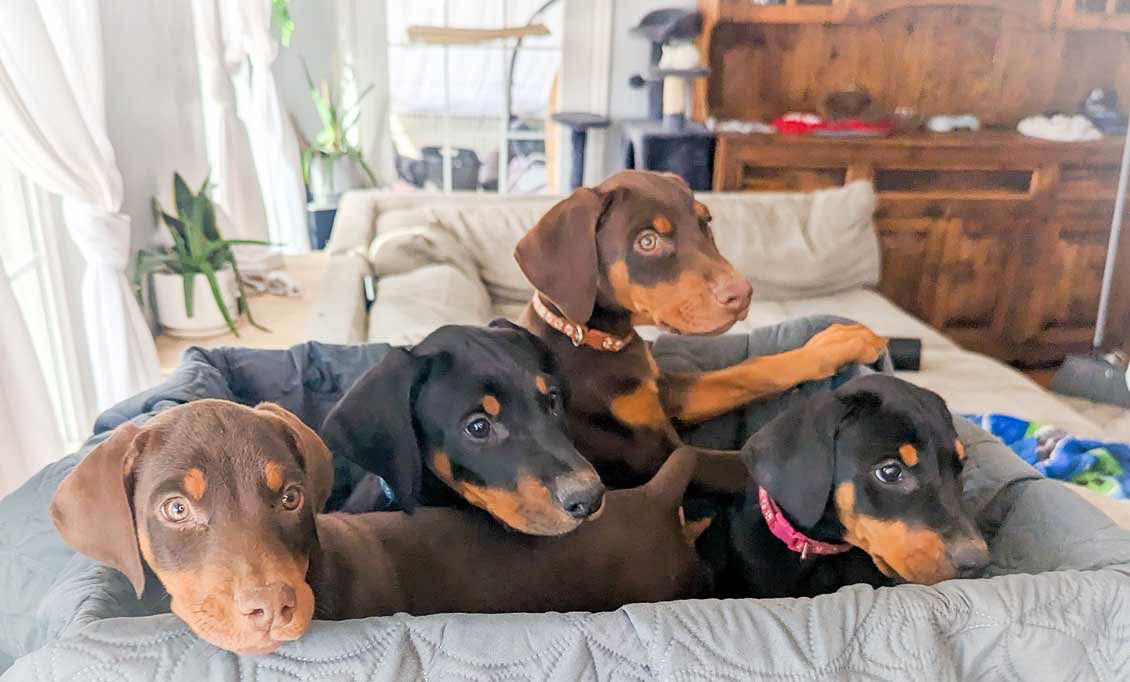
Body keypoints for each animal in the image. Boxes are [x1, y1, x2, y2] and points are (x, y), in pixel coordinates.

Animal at [514, 170, 887, 489]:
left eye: (705, 223)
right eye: (647, 242)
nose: (742, 294)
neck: (598, 342)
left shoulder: (666, 394)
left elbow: (747, 371)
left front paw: (834, 345)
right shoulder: (656, 455)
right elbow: (743, 464)